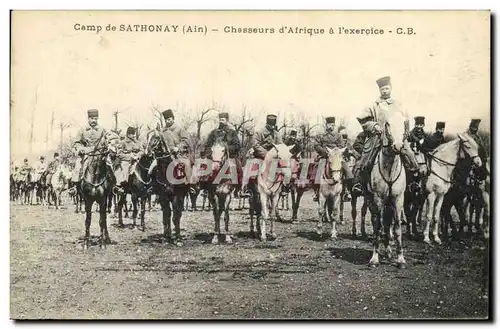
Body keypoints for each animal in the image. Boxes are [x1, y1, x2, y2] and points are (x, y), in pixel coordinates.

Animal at [366, 124, 408, 268]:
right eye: (388, 126)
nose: (399, 146)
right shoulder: (378, 200)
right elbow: (378, 228)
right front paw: (374, 258)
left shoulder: (398, 200)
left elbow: (397, 228)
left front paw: (400, 259)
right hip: (372, 203)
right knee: (377, 223)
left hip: (389, 205)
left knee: (387, 224)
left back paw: (389, 252)